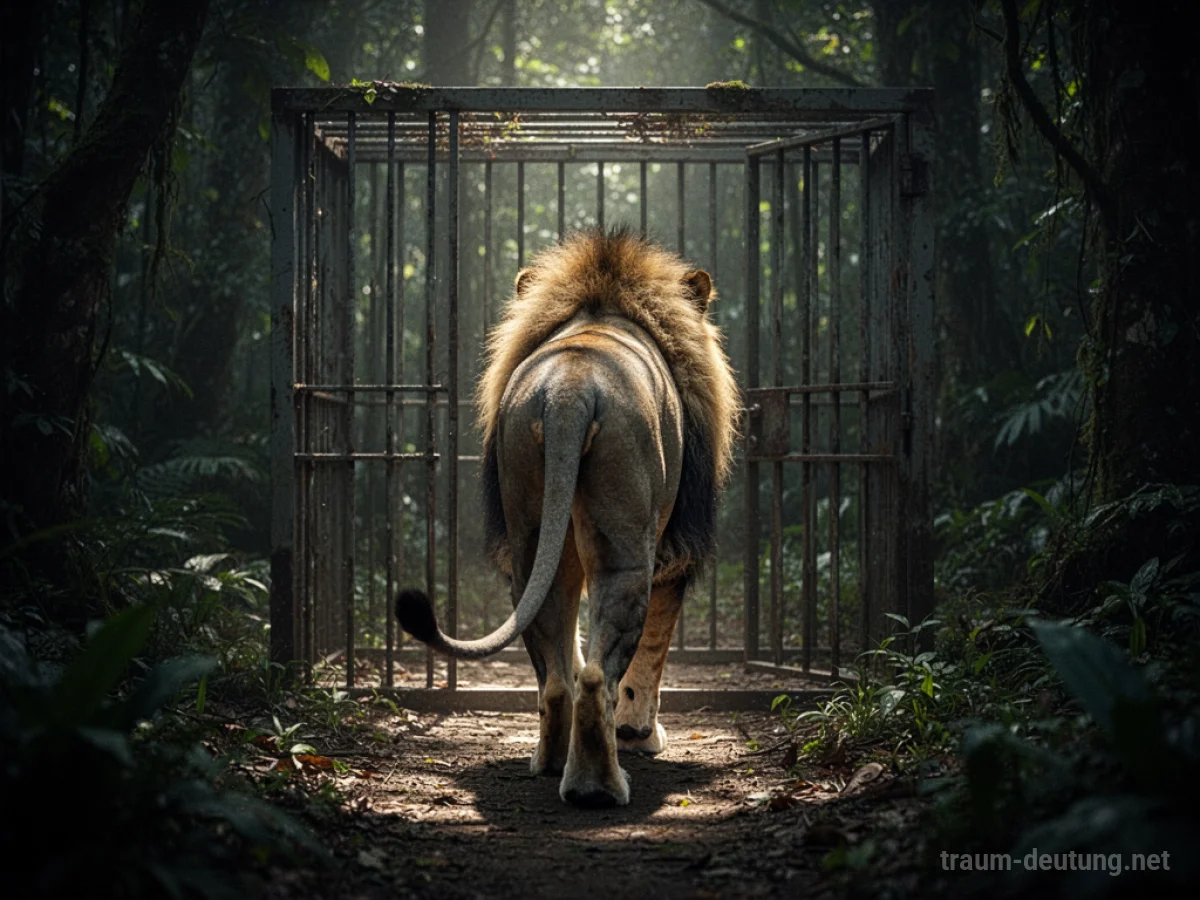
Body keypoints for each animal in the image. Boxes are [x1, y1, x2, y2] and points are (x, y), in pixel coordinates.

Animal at [396, 229, 738, 807]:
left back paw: (551, 762)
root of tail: (570, 390)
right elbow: (653, 648)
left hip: (532, 529)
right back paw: (598, 785)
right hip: (627, 541)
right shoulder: (677, 548)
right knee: (601, 674)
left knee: (556, 673)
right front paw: (640, 734)